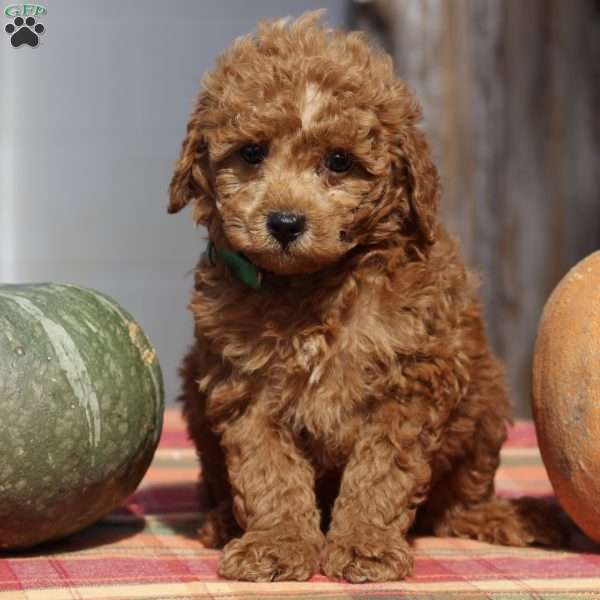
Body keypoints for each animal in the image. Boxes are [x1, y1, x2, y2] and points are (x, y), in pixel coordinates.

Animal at [168, 11, 564, 580]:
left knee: (457, 501)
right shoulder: (244, 385)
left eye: (339, 162)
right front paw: (277, 544)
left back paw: (499, 517)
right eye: (251, 153)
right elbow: (268, 471)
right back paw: (223, 521)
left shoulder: (411, 381)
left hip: (486, 400)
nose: (284, 223)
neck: (312, 286)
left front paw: (364, 545)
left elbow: (380, 472)